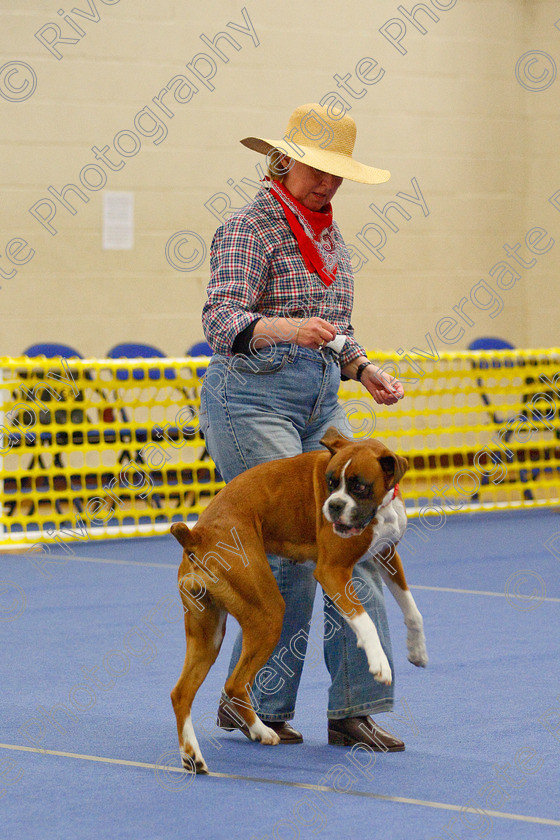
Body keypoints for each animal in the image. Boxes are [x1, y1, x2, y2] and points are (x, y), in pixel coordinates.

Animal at [171, 430, 428, 772]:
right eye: (330, 482)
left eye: (359, 485)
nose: (333, 505)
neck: (380, 506)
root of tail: (196, 535)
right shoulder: (332, 571)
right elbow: (364, 621)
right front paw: (379, 663)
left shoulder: (387, 554)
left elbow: (412, 609)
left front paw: (417, 649)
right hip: (268, 614)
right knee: (234, 684)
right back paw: (262, 731)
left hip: (207, 632)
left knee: (181, 693)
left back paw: (193, 756)